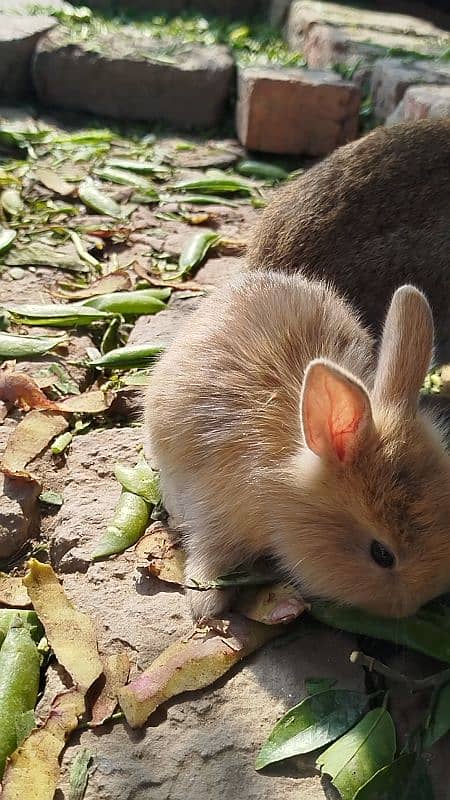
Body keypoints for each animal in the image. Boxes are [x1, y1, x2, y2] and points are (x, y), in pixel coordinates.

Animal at [145, 272, 450, 620]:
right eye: (382, 554)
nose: (421, 601)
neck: (279, 493)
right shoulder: (214, 513)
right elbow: (209, 552)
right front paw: (205, 606)